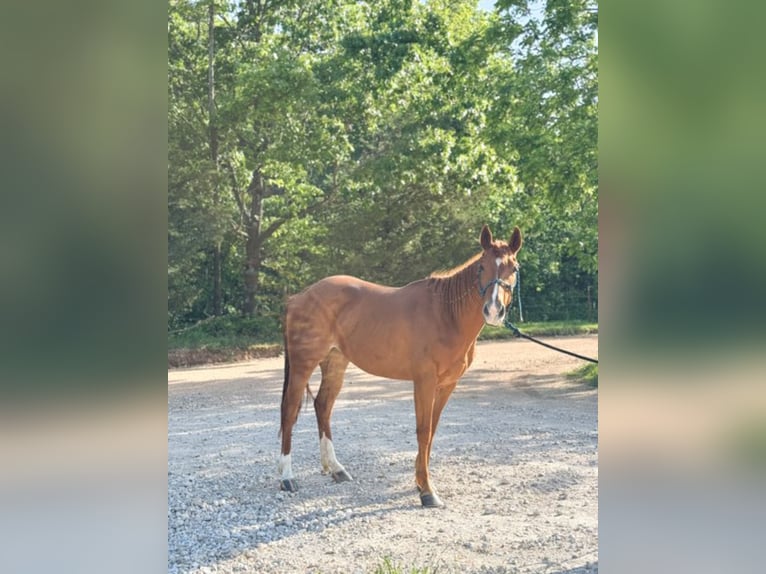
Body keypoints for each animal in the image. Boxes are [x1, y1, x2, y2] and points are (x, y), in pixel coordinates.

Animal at [278, 224, 522, 507]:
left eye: (514, 268)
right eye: (482, 266)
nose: (493, 310)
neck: (446, 314)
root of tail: (298, 297)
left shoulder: (447, 384)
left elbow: (432, 431)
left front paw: (419, 481)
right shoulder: (424, 381)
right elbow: (423, 431)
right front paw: (427, 491)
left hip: (335, 363)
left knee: (323, 406)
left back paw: (336, 469)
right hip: (302, 364)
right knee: (289, 410)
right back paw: (287, 478)